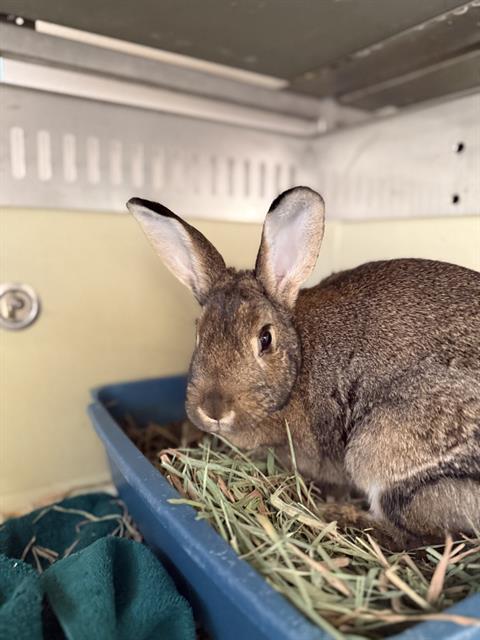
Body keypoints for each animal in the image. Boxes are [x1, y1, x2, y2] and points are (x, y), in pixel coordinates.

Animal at [127, 186, 480, 542]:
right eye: (198, 332)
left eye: (265, 338)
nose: (213, 410)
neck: (297, 365)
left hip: (381, 448)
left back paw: (335, 514)